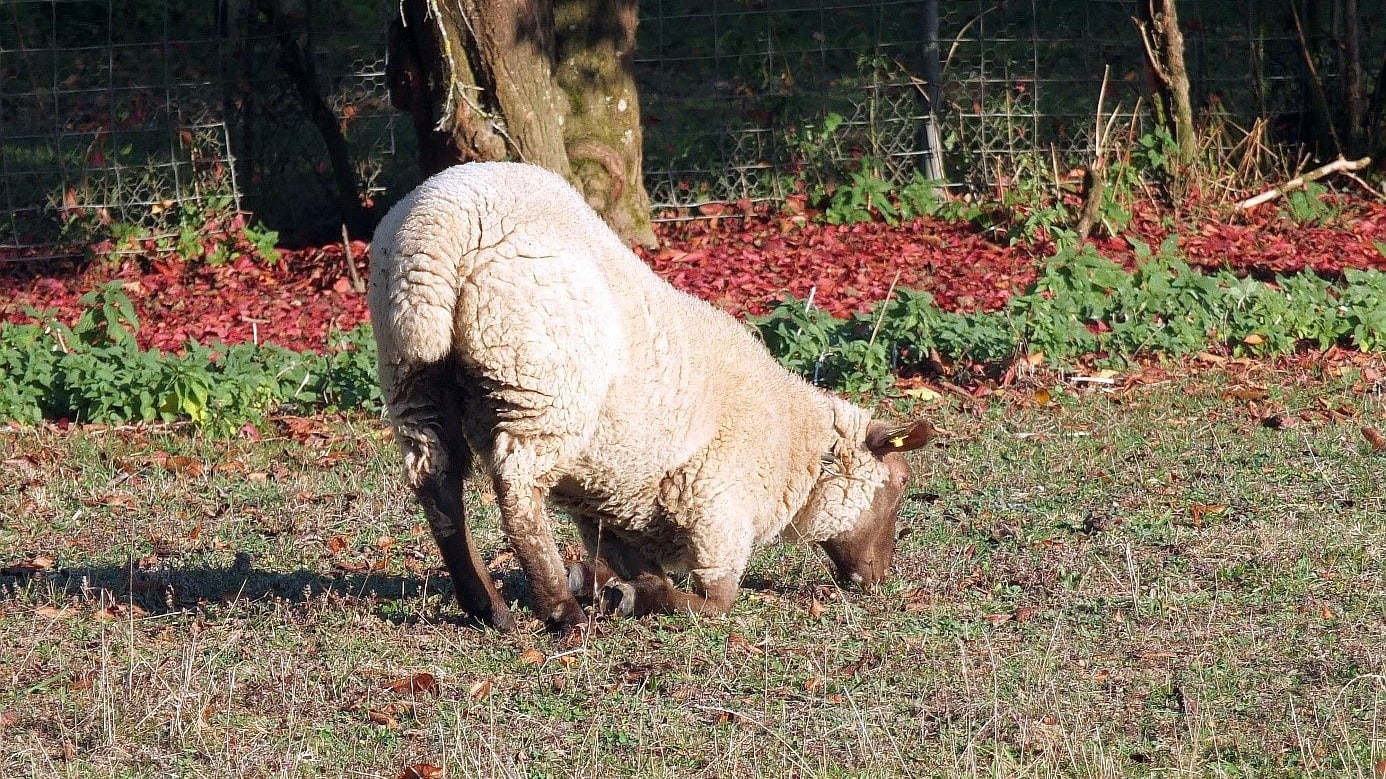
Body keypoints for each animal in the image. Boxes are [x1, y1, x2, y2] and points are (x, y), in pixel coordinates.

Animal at [368, 162, 936, 632]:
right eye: (901, 483)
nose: (878, 580)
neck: (792, 450)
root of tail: (440, 228)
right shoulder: (719, 512)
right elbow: (714, 602)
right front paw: (625, 597)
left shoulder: (607, 500)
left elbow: (632, 561)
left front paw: (605, 583)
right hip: (540, 386)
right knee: (518, 491)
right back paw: (562, 613)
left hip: (411, 372)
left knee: (438, 484)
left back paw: (488, 606)